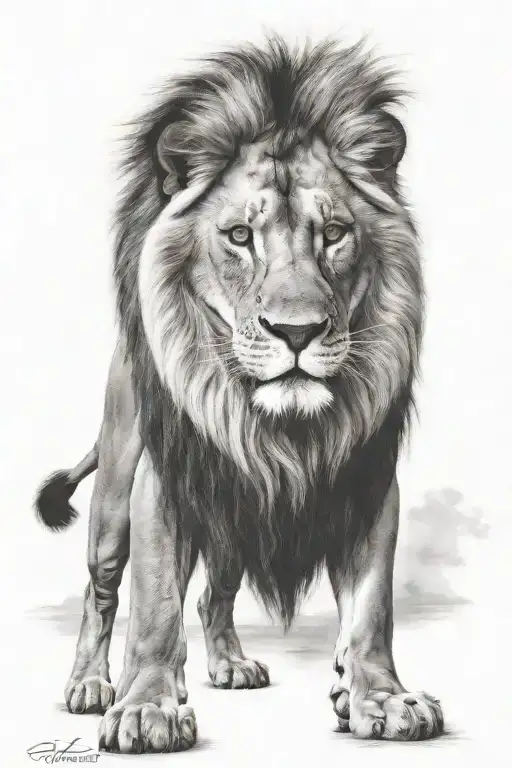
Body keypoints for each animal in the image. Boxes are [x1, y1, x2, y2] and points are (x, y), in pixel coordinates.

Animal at [35, 37, 443, 751]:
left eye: (333, 234)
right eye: (239, 237)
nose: (298, 331)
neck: (280, 428)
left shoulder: (367, 483)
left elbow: (373, 607)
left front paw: (382, 697)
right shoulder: (163, 486)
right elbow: (154, 605)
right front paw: (146, 708)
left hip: (233, 515)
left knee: (214, 594)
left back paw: (229, 664)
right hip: (114, 498)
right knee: (103, 591)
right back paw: (88, 684)